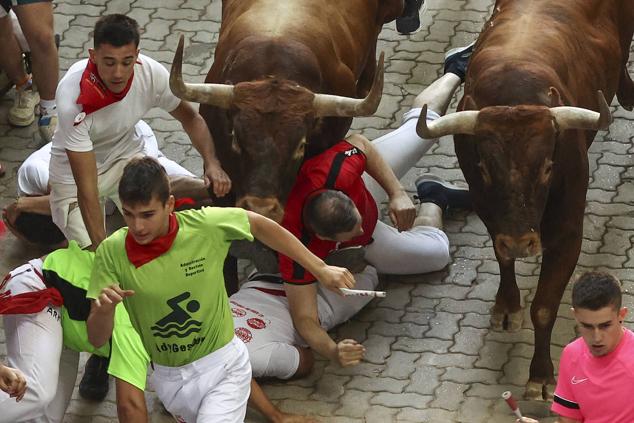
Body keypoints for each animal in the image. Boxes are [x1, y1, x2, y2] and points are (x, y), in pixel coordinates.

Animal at [414, 0, 632, 400]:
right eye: (483, 167)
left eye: (548, 166)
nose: (522, 242)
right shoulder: (491, 216)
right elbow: (503, 258)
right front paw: (506, 305)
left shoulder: (568, 231)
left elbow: (544, 307)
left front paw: (541, 376)